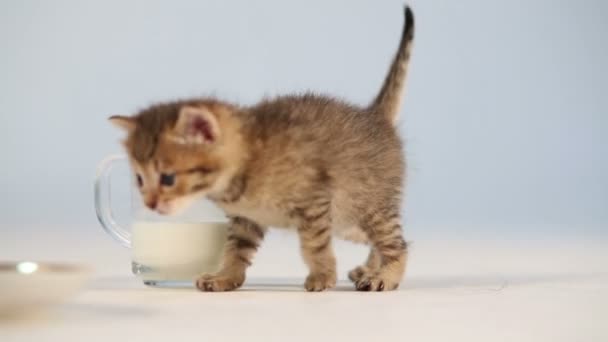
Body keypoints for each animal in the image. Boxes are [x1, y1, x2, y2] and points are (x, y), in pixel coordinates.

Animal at [109, 6, 416, 292]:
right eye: (139, 179)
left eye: (168, 178)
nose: (149, 204)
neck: (244, 165)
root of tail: (373, 115)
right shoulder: (246, 219)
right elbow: (235, 250)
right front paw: (224, 277)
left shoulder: (314, 202)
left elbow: (314, 246)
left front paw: (322, 276)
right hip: (347, 220)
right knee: (386, 240)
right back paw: (369, 268)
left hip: (367, 205)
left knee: (398, 243)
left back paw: (384, 276)